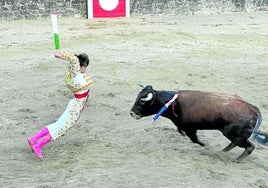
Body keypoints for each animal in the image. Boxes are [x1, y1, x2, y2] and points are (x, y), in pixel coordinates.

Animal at [130, 86, 262, 162]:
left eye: (142, 102)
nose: (131, 113)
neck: (174, 103)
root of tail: (252, 108)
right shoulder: (184, 127)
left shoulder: (190, 129)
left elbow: (195, 140)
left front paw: (206, 146)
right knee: (235, 143)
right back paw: (222, 152)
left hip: (231, 133)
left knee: (248, 146)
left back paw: (236, 159)